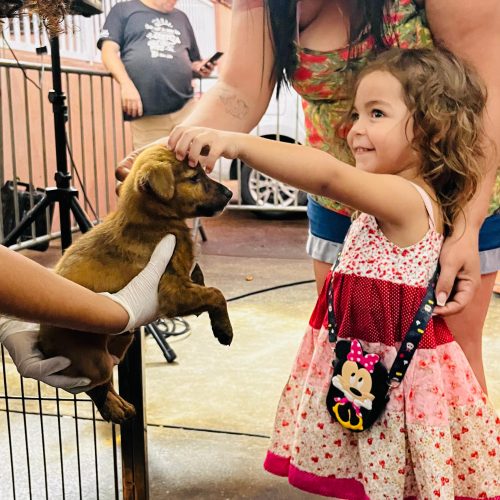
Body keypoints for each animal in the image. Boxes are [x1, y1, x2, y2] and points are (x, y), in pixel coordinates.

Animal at [38, 145, 233, 423]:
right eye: (194, 178)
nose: (230, 193)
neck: (153, 219)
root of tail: (40, 341)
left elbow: (203, 284)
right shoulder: (171, 292)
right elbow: (216, 294)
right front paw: (223, 329)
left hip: (118, 343)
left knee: (107, 380)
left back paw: (121, 404)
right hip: (92, 357)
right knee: (94, 386)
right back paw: (113, 408)